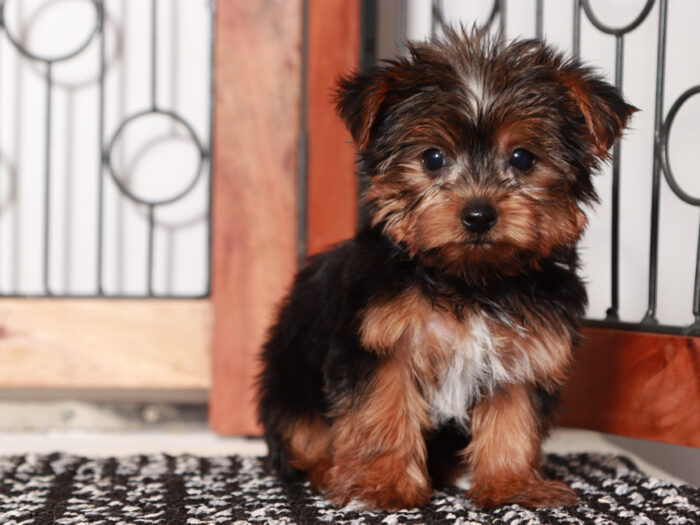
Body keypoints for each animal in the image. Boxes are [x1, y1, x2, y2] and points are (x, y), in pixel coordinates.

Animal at [256, 27, 636, 508]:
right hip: (288, 383)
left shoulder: (525, 346)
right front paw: (381, 484)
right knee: (302, 438)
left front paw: (512, 484)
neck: (471, 280)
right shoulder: (381, 341)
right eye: (432, 158)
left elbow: (515, 415)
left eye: (523, 158)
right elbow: (380, 410)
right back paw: (329, 471)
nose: (478, 214)